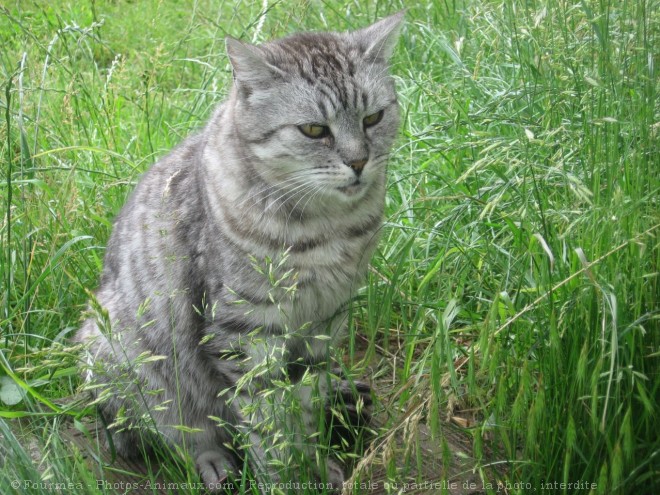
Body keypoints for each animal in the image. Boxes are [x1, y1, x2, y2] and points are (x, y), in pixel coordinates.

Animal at [76, 11, 404, 492]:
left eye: (373, 118)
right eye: (314, 130)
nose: (359, 162)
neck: (327, 227)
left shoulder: (323, 321)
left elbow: (304, 404)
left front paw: (314, 463)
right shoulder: (244, 332)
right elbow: (268, 420)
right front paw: (287, 476)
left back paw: (345, 396)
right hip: (122, 358)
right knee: (173, 434)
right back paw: (214, 461)